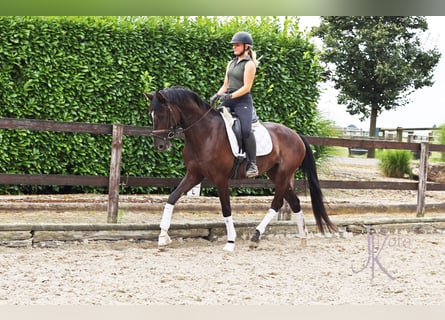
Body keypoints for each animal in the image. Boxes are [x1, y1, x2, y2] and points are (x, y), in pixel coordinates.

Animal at [144, 86, 334, 251]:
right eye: (151, 115)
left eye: (161, 114)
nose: (160, 146)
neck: (205, 133)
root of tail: (297, 135)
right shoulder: (194, 175)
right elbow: (172, 198)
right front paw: (162, 237)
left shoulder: (220, 179)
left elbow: (226, 208)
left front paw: (230, 242)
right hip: (276, 174)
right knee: (294, 202)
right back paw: (302, 239)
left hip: (283, 174)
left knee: (277, 203)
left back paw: (255, 237)